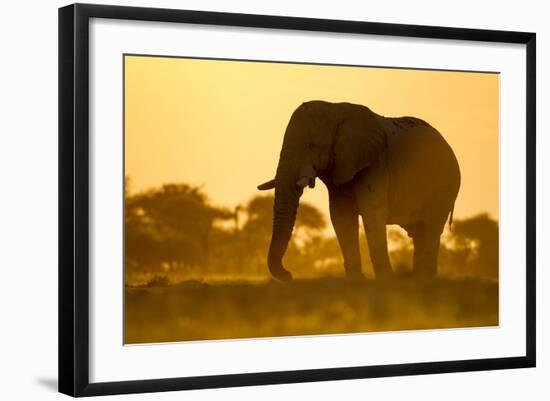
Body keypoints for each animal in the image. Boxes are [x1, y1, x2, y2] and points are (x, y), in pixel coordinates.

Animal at [258, 100, 462, 282]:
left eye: (312, 145)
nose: (289, 275)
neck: (334, 108)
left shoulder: (375, 164)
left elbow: (372, 212)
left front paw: (386, 280)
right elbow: (341, 217)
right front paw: (357, 279)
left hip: (446, 185)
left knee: (431, 227)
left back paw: (424, 279)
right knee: (419, 232)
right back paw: (419, 279)